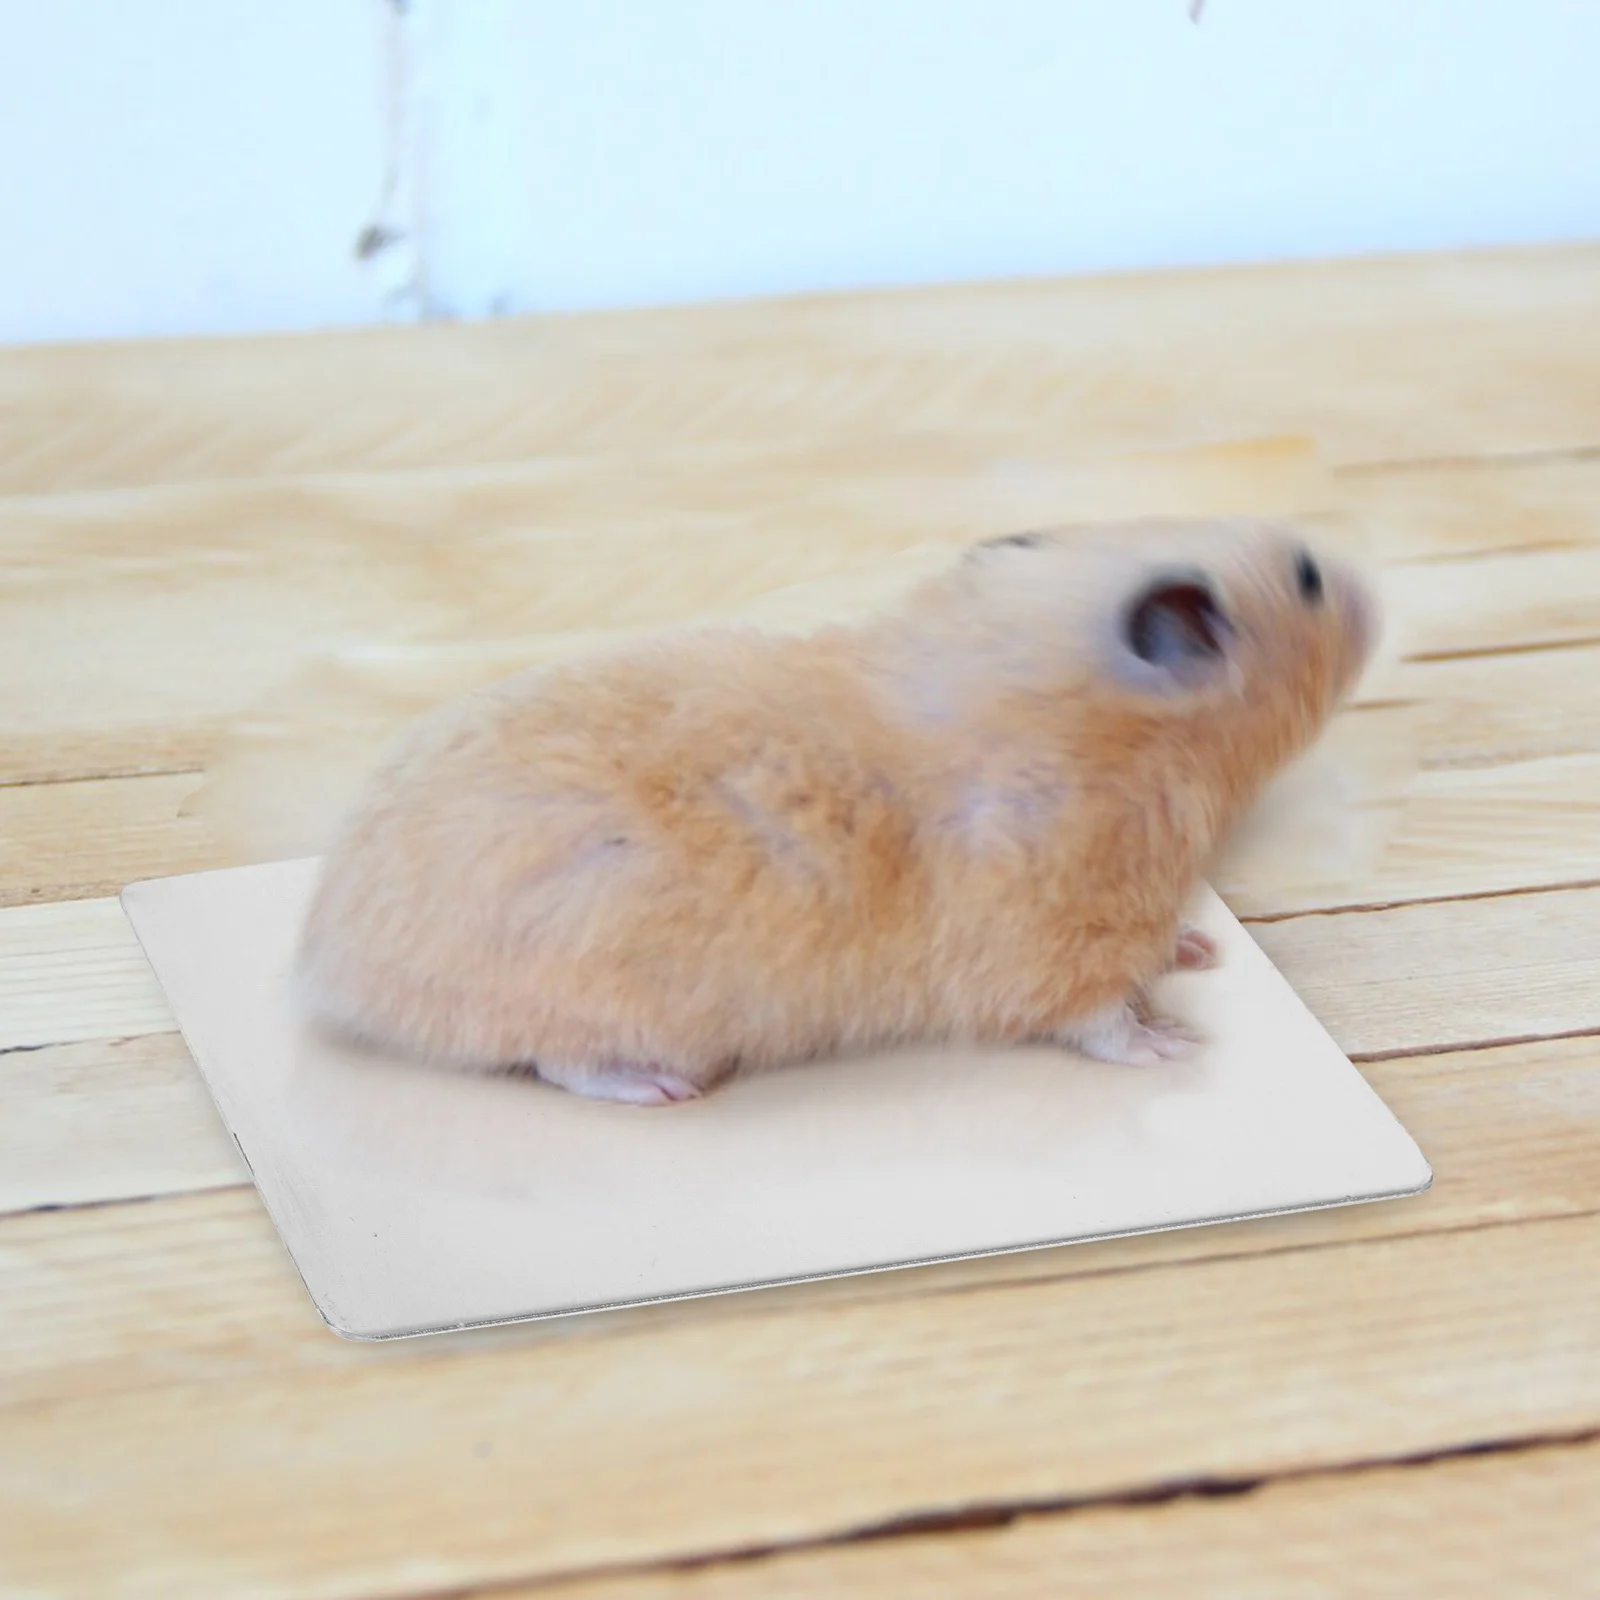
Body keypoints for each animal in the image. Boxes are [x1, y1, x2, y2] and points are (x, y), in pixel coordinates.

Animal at [296, 517, 1375, 1105]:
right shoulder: (1055, 942)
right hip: (594, 994)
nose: (1372, 587)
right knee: (557, 1063)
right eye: (1309, 579)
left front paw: (1197, 948)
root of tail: (324, 966)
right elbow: (1100, 1019)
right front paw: (1177, 1044)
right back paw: (660, 1090)